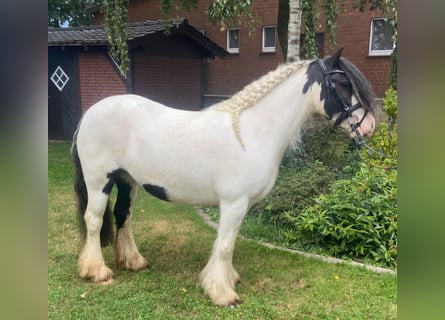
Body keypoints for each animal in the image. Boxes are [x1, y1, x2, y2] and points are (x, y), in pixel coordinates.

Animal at [72, 48, 374, 306]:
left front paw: (228, 279)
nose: (369, 126)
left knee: (123, 215)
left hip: (127, 180)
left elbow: (229, 241)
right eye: (343, 83)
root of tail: (90, 114)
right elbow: (226, 245)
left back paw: (134, 262)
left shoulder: (240, 206)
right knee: (94, 220)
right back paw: (97, 271)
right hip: (100, 181)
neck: (251, 133)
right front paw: (222, 293)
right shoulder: (234, 203)